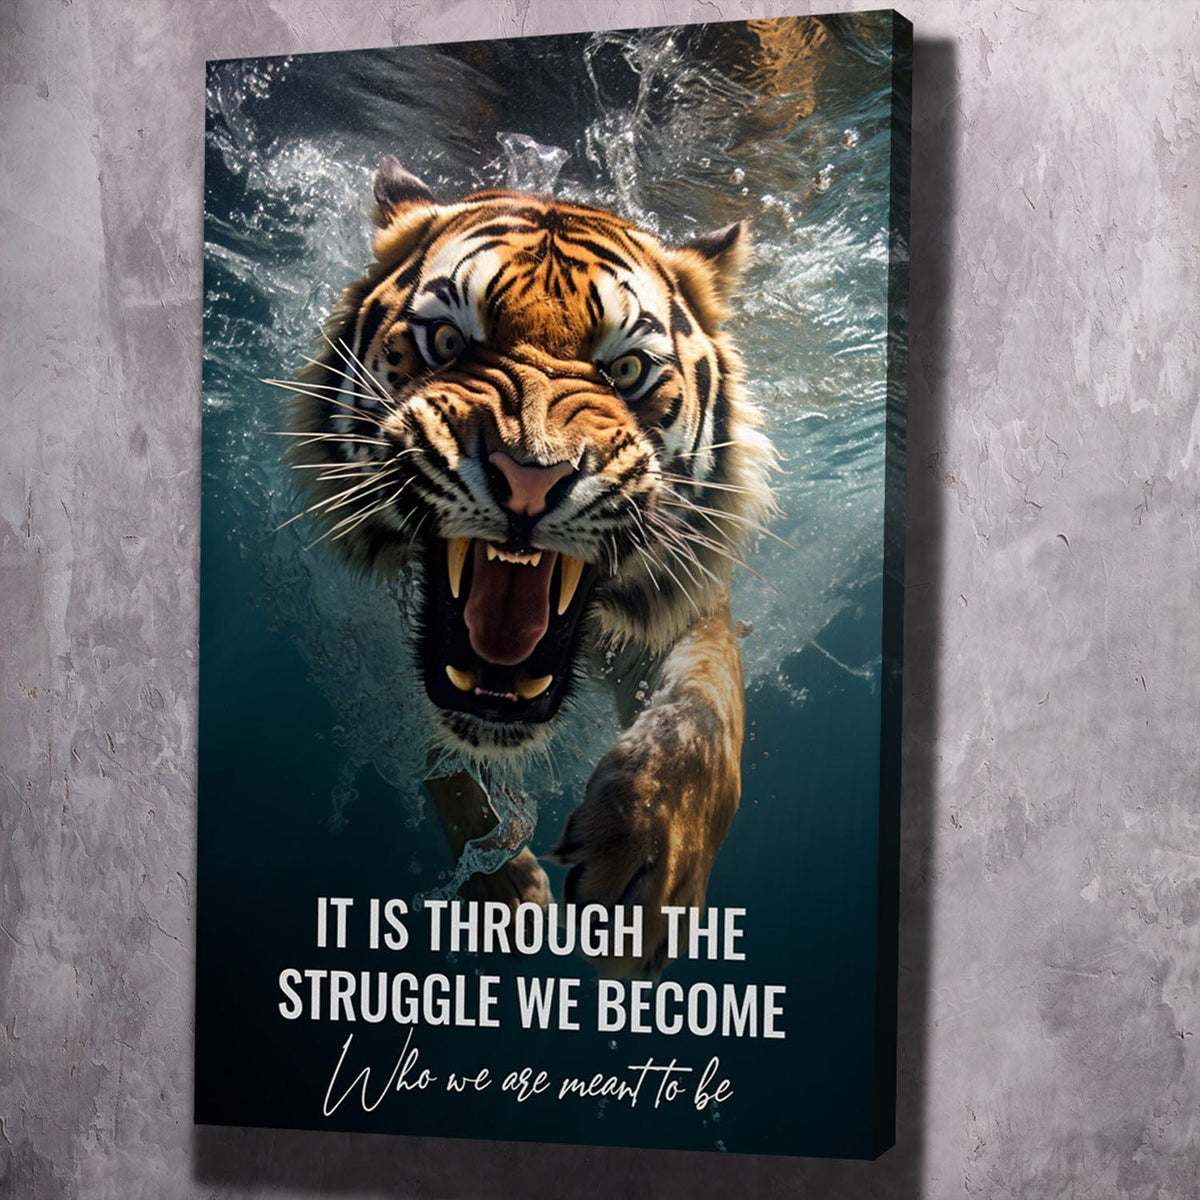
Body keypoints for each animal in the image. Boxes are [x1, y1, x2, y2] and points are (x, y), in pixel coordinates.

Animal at [286, 155, 774, 973]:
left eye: (629, 369)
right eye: (447, 341)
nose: (530, 478)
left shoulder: (691, 602)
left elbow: (704, 716)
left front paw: (650, 865)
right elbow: (446, 755)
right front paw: (501, 888)